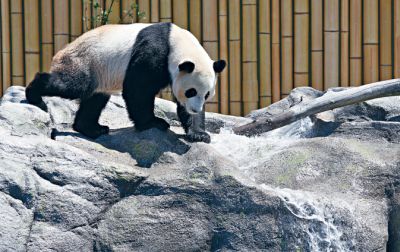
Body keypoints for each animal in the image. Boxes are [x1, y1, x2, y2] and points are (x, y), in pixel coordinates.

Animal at [25, 22, 227, 143]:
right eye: (191, 91)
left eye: (207, 94)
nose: (195, 109)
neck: (177, 42)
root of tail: (62, 51)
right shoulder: (155, 51)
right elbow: (138, 89)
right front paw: (154, 123)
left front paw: (199, 133)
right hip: (85, 61)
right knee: (72, 85)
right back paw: (34, 95)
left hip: (100, 73)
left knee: (95, 99)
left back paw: (92, 128)